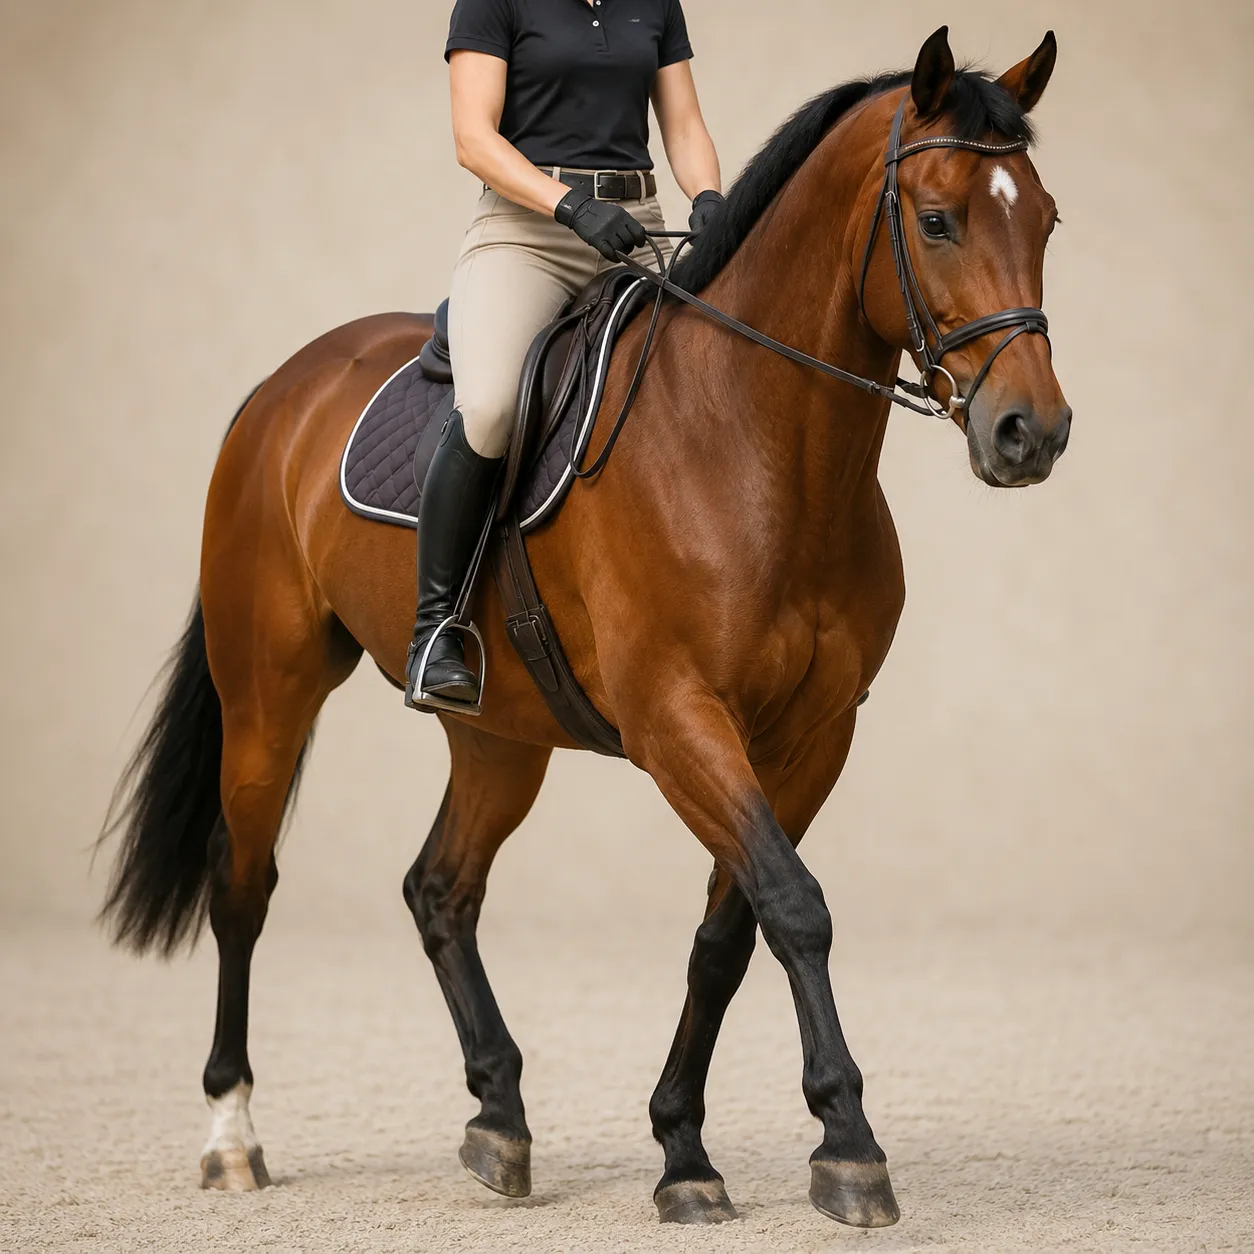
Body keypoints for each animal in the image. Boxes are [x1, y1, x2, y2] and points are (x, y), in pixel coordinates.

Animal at [98, 26, 1068, 1228]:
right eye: (936, 220)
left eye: (1046, 219)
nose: (1032, 431)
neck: (755, 445)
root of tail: (281, 391)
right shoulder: (676, 719)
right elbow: (794, 904)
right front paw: (847, 1143)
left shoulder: (813, 735)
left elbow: (731, 929)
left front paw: (684, 1149)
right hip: (269, 690)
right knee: (244, 882)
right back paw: (234, 1136)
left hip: (497, 733)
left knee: (440, 889)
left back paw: (499, 1119)